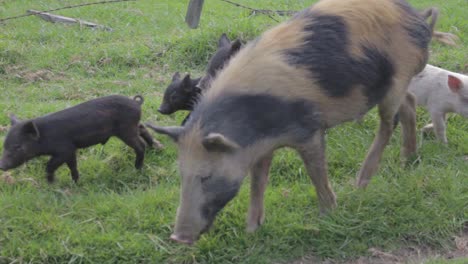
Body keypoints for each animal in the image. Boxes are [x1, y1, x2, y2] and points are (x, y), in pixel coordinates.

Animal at [149, 0, 438, 244]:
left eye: (206, 176)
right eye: (181, 174)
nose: (178, 238)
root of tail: (418, 19)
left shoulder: (309, 130)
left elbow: (315, 172)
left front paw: (328, 215)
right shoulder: (260, 147)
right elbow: (257, 182)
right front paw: (252, 230)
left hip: (397, 77)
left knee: (388, 124)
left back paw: (360, 184)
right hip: (396, 86)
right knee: (410, 102)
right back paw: (407, 160)